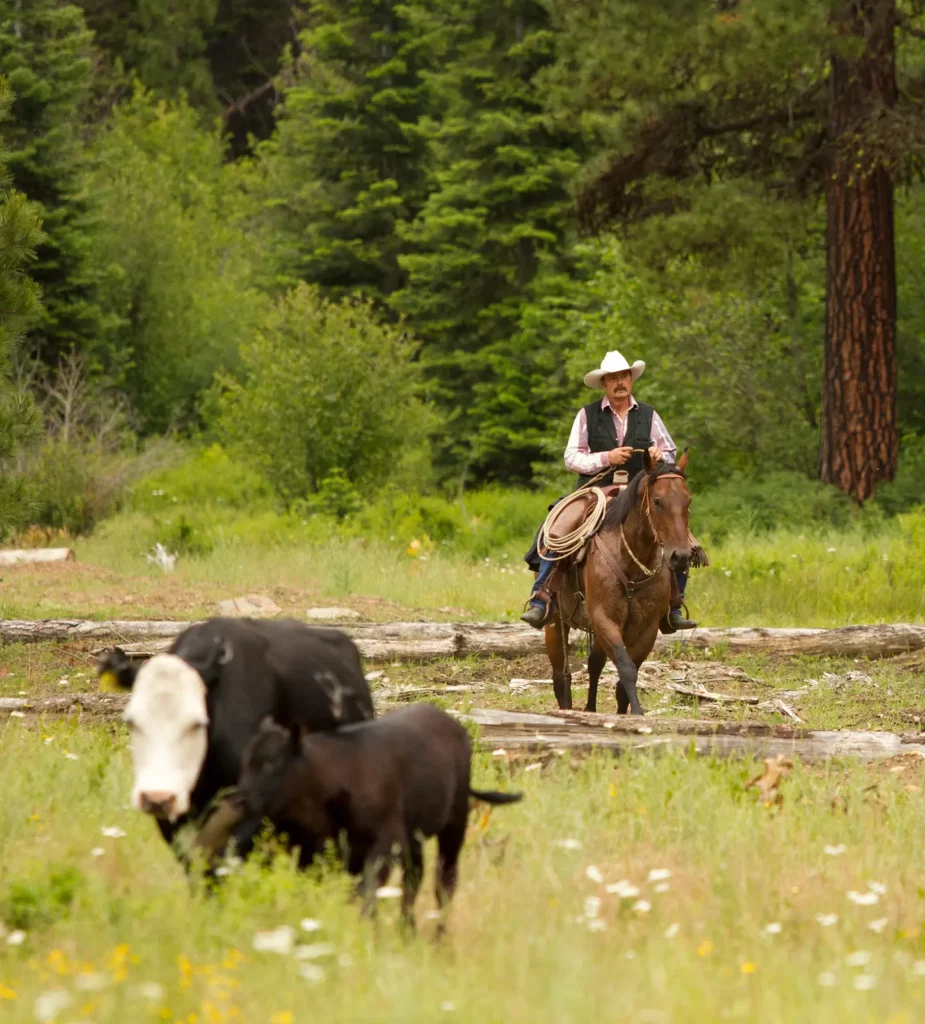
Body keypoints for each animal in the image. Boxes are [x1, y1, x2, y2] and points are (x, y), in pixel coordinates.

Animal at [230, 704, 523, 925]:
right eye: (244, 762)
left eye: (272, 763)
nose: (240, 799)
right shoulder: (316, 852)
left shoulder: (385, 842)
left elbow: (367, 894)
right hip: (413, 837)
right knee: (413, 880)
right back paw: (407, 932)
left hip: (453, 825)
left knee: (444, 881)